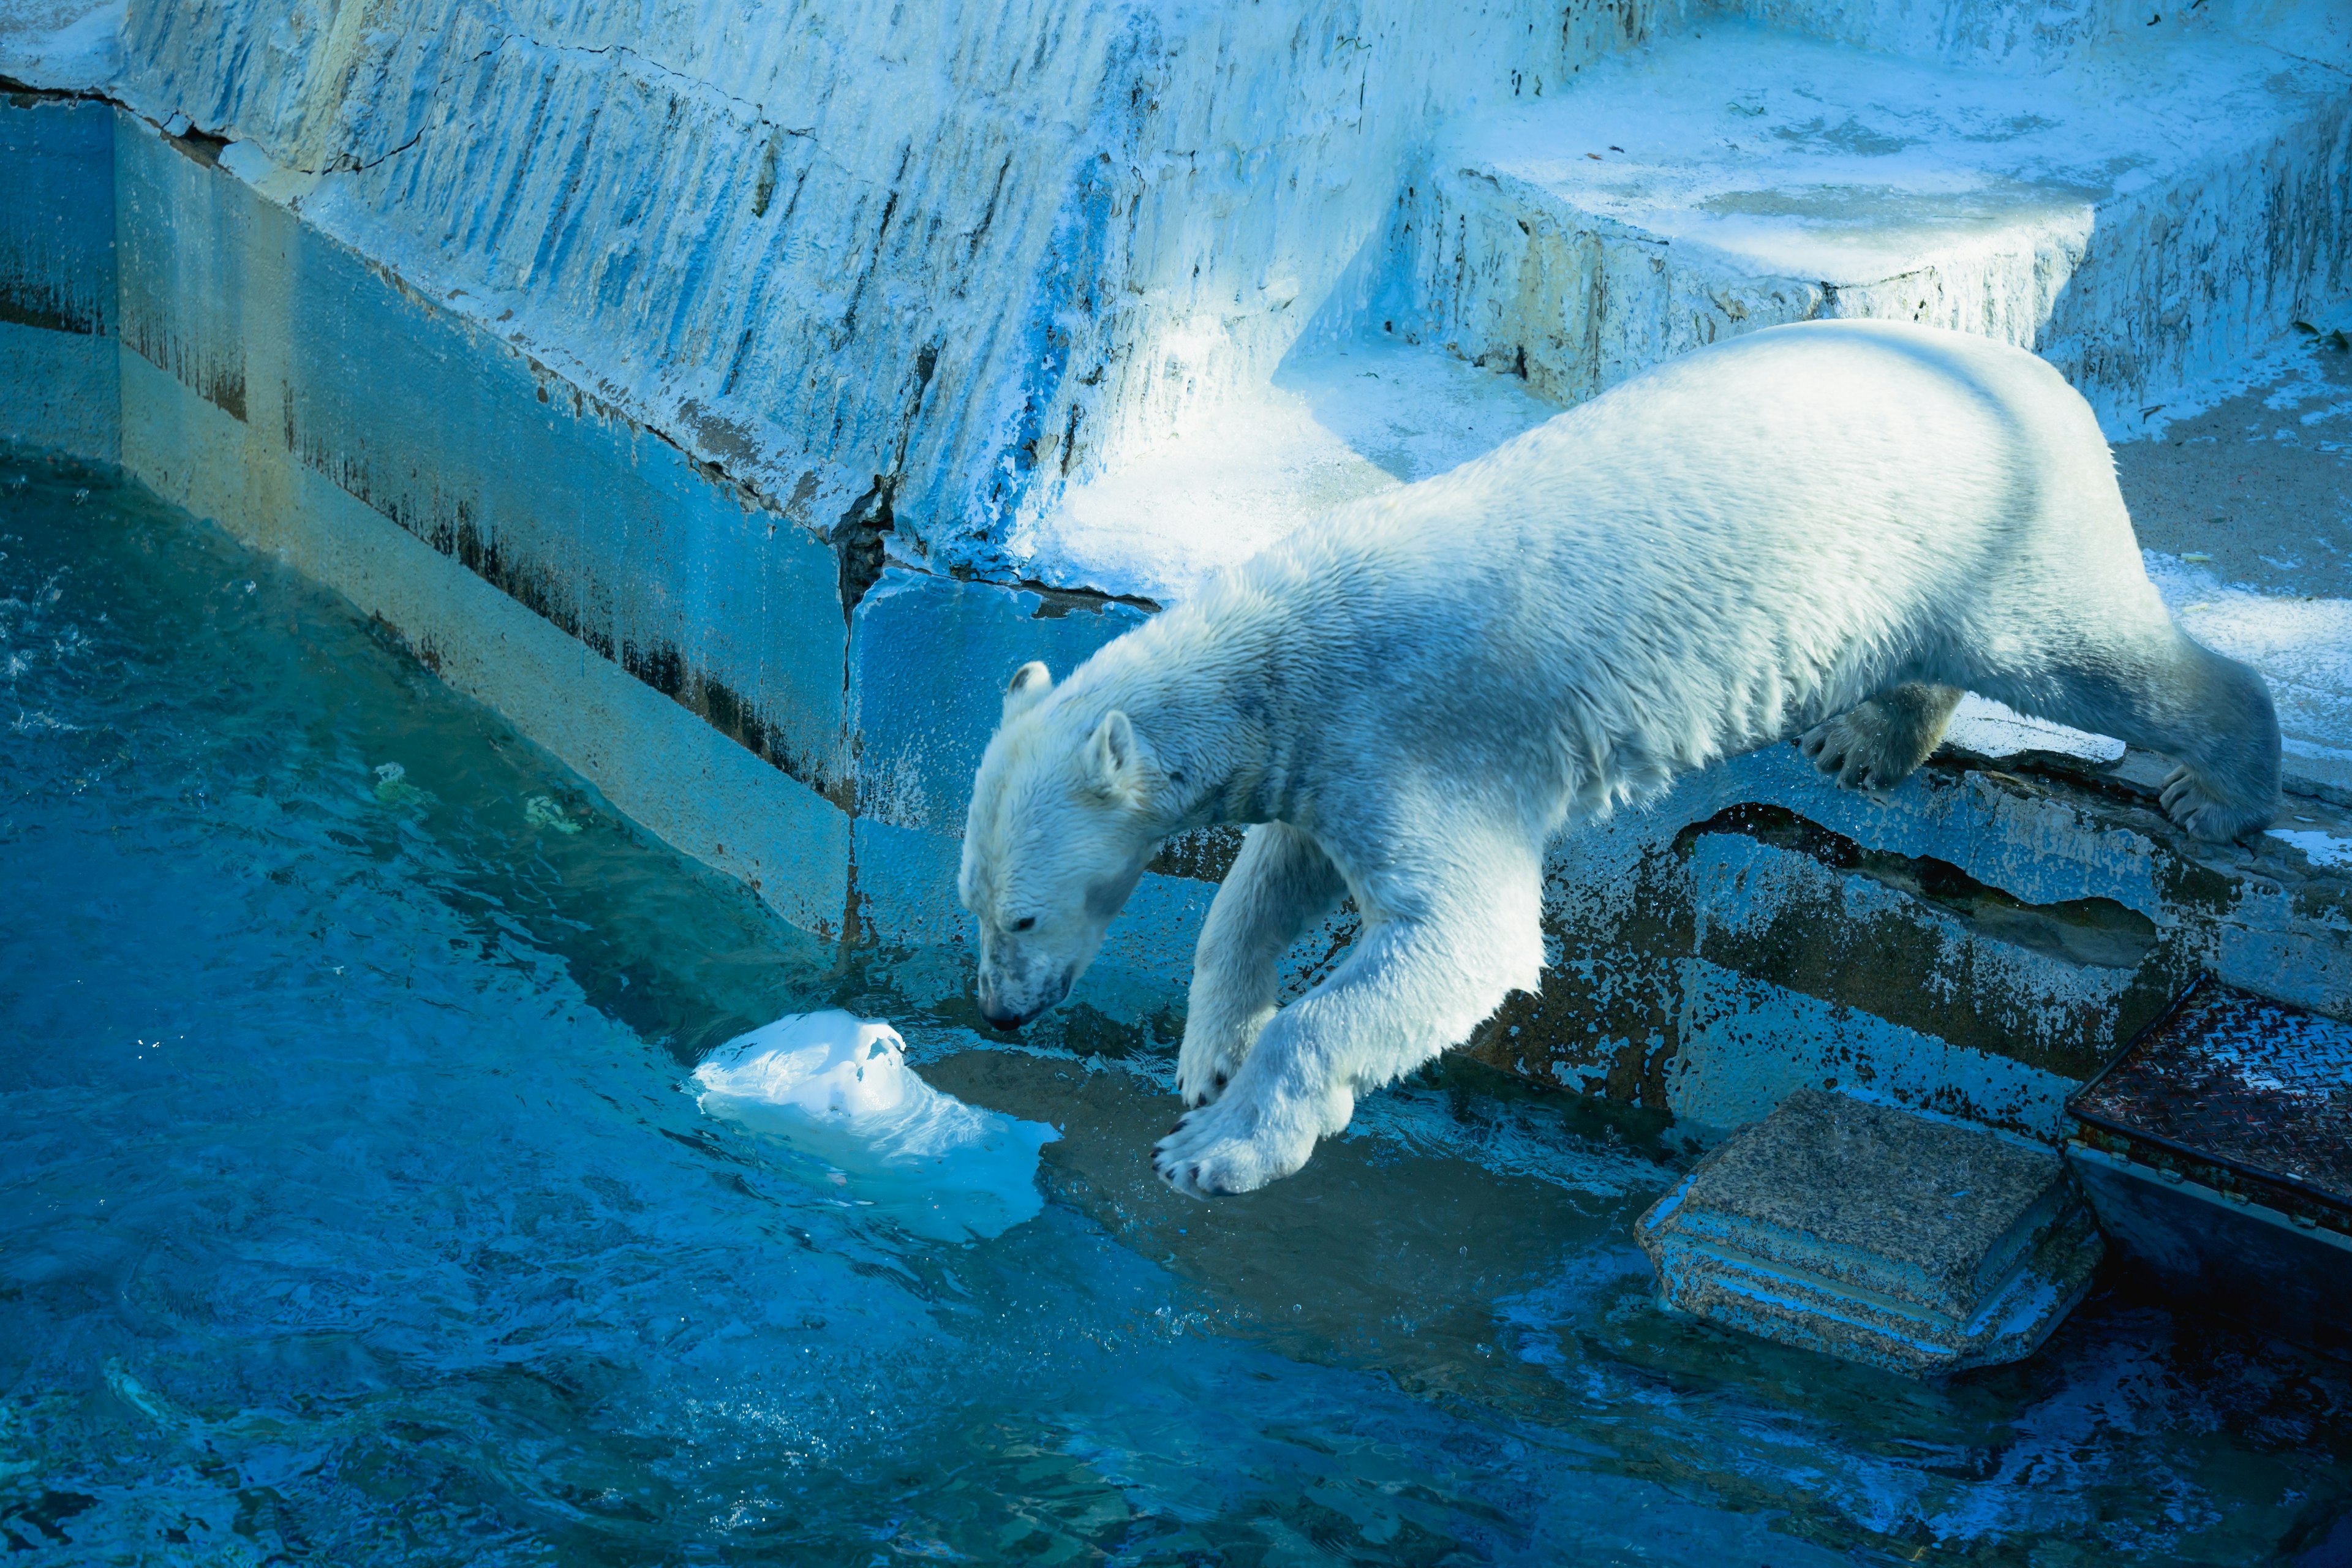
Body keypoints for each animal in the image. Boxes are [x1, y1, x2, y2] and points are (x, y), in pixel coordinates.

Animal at [955, 322, 2277, 1204]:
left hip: (1981, 529)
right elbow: (1273, 879)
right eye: (970, 902)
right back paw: (1859, 738)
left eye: (1021, 917)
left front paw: (1216, 1147)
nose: (998, 1009)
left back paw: (2221, 782)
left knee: (2086, 650)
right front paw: (1207, 1055)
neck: (1285, 648)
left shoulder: (1410, 732)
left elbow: (1460, 939)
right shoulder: (1325, 752)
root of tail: (2040, 380)